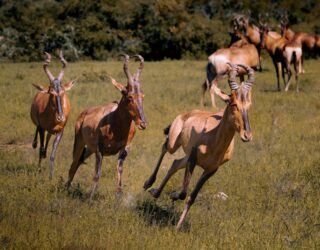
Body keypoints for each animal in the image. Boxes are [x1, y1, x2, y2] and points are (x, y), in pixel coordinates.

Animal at [30, 51, 75, 180]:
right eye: (51, 93)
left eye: (62, 91)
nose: (60, 117)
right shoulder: (41, 127)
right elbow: (40, 149)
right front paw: (39, 171)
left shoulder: (60, 131)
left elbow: (53, 154)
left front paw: (51, 177)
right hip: (39, 126)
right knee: (39, 142)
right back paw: (34, 144)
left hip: (51, 131)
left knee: (48, 138)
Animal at [65, 54, 147, 199]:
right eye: (129, 96)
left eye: (142, 96)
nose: (142, 123)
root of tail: (84, 113)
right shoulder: (99, 149)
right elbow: (97, 173)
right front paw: (90, 197)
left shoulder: (125, 148)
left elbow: (120, 169)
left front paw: (119, 195)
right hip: (80, 142)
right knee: (74, 163)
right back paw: (66, 188)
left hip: (89, 149)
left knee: (79, 161)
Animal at [144, 63, 254, 230]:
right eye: (233, 103)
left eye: (249, 105)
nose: (247, 135)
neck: (213, 137)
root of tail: (187, 113)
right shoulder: (193, 159)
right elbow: (184, 192)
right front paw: (173, 195)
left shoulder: (211, 170)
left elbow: (192, 196)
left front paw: (178, 226)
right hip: (174, 144)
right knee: (165, 147)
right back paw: (148, 184)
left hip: (187, 156)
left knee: (175, 163)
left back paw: (156, 192)